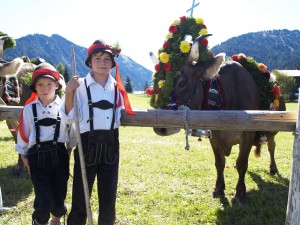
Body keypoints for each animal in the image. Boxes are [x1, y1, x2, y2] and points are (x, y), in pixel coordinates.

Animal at [148, 16, 286, 202]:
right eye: (157, 84)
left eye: (182, 83)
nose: (160, 128)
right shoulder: (214, 135)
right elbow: (219, 163)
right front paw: (219, 189)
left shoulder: (248, 134)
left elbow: (242, 163)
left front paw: (240, 192)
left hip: (272, 129)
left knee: (271, 146)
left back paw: (273, 168)